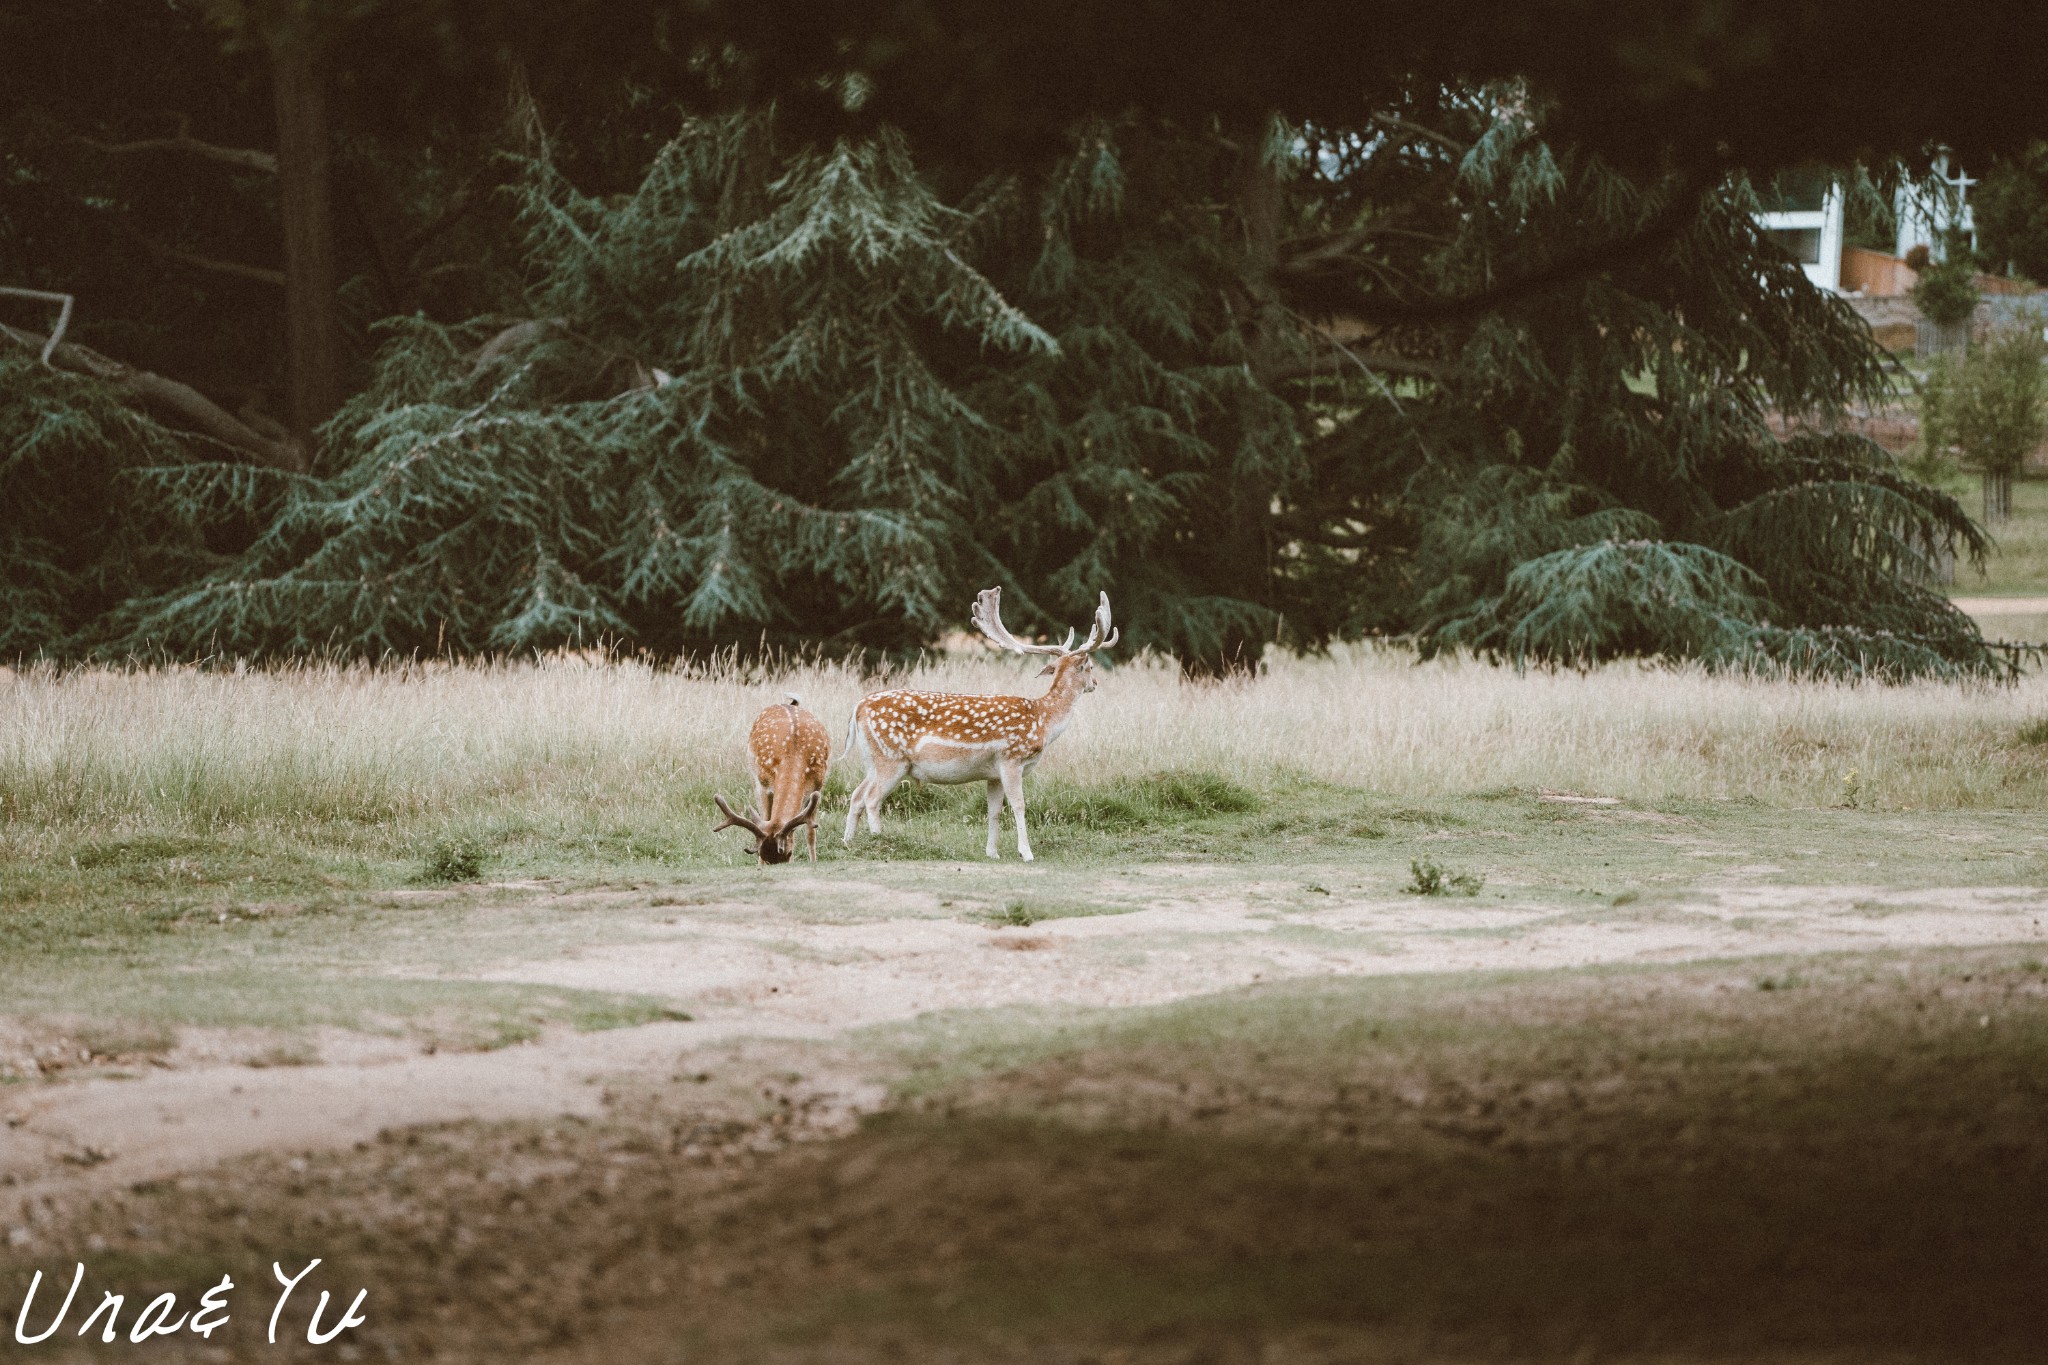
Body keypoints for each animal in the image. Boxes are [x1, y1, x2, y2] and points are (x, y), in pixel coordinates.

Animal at [712, 695, 823, 863]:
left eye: (788, 854)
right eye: (761, 853)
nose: (776, 863)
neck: (794, 753)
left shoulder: (818, 785)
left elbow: (810, 832)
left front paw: (813, 861)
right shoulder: (763, 785)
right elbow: (765, 818)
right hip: (753, 772)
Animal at [839, 581, 1122, 859]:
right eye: (1091, 667)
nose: (1095, 683)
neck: (1043, 720)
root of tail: (857, 708)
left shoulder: (993, 773)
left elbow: (994, 811)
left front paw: (992, 852)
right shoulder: (1011, 759)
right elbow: (1018, 805)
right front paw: (1026, 852)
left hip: (873, 760)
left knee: (856, 795)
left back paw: (848, 842)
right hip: (891, 759)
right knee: (871, 799)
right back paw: (879, 841)